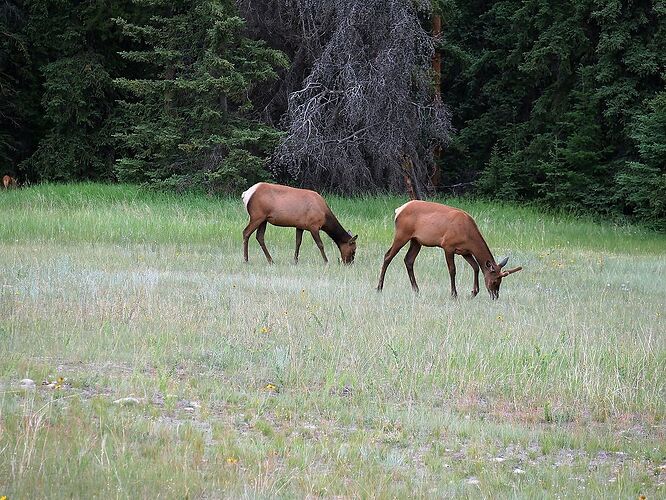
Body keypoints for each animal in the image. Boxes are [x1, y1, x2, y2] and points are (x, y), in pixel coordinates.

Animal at [376, 200, 520, 300]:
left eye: (501, 281)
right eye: (495, 281)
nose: (495, 296)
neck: (469, 236)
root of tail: (398, 210)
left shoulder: (466, 252)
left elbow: (476, 267)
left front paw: (474, 292)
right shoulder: (448, 246)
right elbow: (452, 270)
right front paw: (454, 294)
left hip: (416, 241)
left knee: (408, 259)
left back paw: (416, 290)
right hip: (402, 234)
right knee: (388, 256)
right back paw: (379, 288)